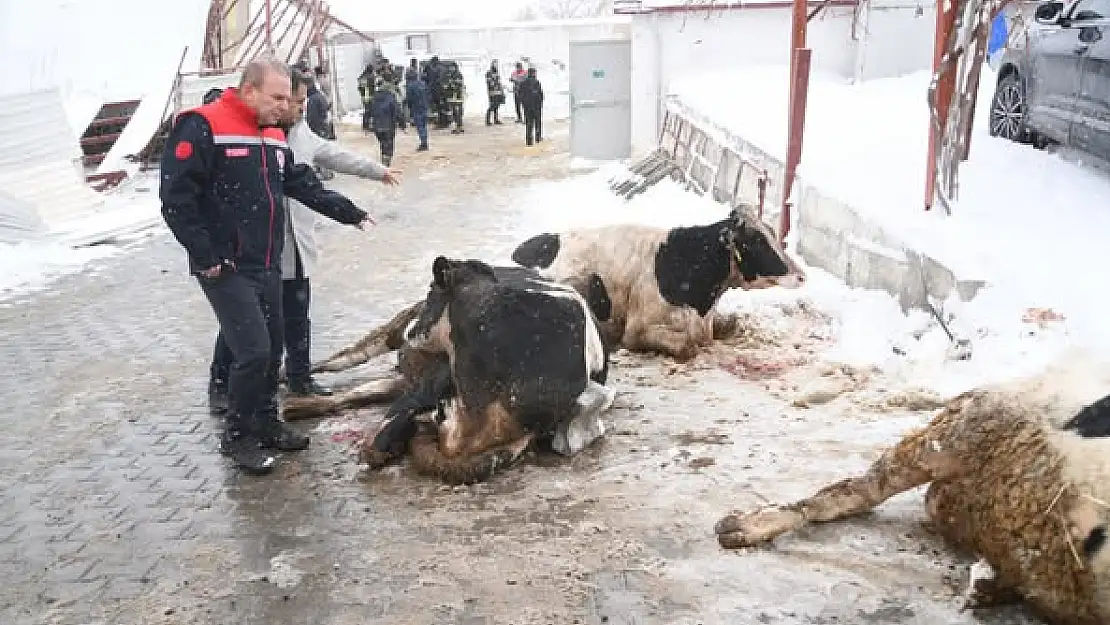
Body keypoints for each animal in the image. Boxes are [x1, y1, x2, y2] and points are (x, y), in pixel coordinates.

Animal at [508, 205, 803, 361]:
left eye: (772, 232)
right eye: (756, 239)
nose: (801, 275)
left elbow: (731, 323)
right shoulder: (637, 330)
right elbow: (687, 345)